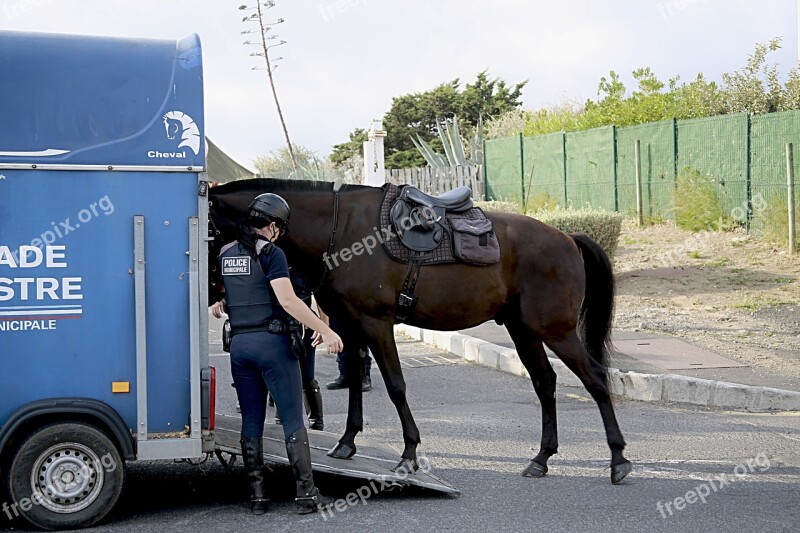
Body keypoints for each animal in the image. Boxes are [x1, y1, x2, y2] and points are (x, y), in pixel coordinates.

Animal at [209, 178, 636, 482]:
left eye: (207, 228)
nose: (216, 299)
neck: (339, 229)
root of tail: (568, 239)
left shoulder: (376, 323)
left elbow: (395, 385)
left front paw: (409, 452)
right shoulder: (350, 326)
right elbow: (354, 381)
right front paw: (347, 441)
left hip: (556, 330)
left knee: (596, 379)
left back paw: (618, 459)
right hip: (525, 331)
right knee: (545, 384)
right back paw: (542, 458)